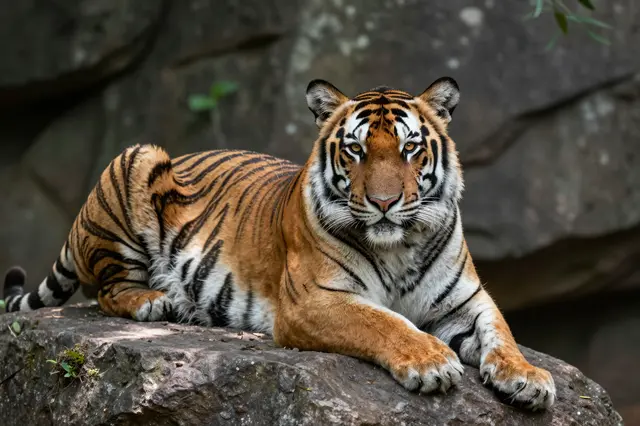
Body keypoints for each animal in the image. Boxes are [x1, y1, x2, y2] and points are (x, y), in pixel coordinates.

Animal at [3, 77, 555, 410]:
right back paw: (157, 301)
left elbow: (501, 332)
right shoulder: (315, 300)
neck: (399, 246)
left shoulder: (467, 300)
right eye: (356, 150)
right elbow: (385, 322)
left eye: (409, 149)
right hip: (137, 157)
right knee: (107, 289)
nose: (383, 202)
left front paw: (528, 377)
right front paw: (431, 361)